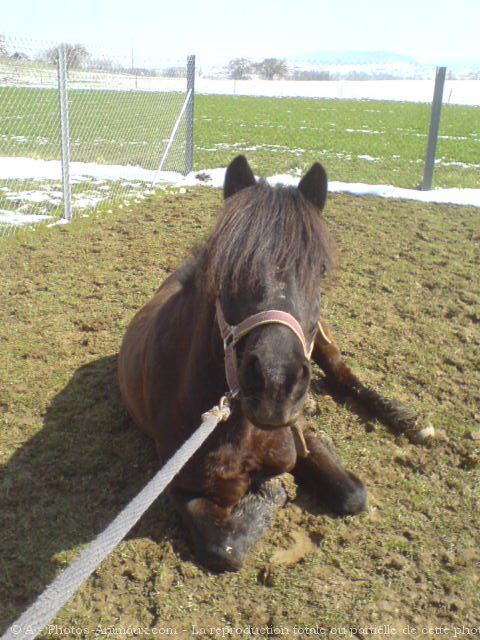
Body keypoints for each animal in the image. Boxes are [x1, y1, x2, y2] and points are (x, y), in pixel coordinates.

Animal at [119, 156, 424, 568]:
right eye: (228, 270)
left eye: (320, 270)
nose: (277, 385)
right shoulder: (179, 488)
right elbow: (225, 547)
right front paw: (273, 491)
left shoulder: (301, 433)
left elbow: (353, 495)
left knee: (342, 373)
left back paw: (407, 419)